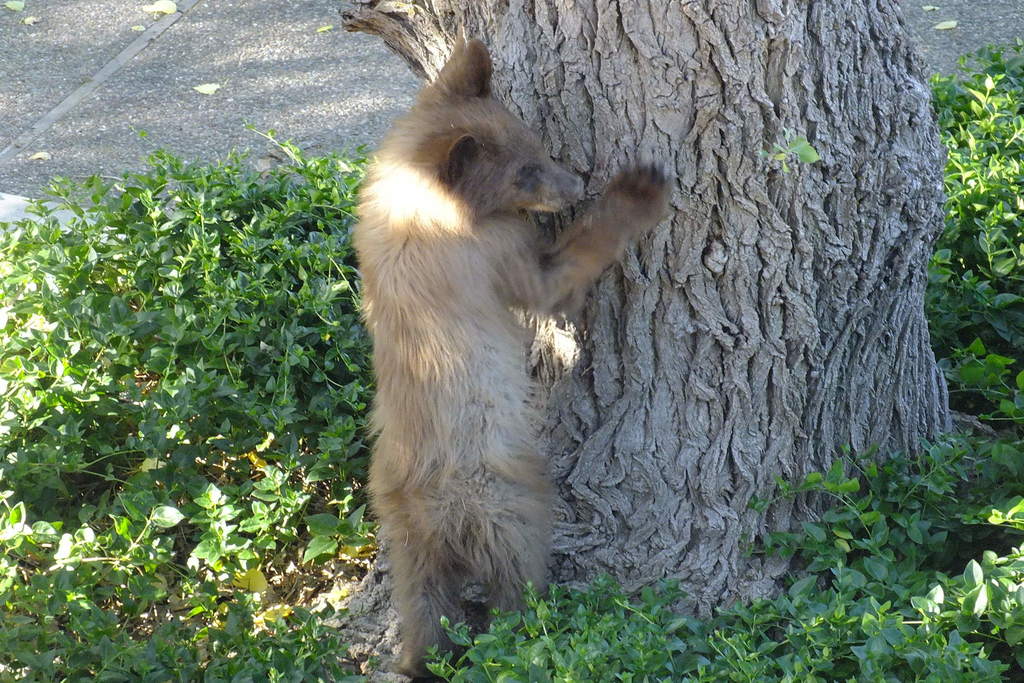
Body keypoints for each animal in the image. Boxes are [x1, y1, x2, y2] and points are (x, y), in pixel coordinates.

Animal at [352, 38, 671, 679]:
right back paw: (532, 627)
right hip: (509, 503)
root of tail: (433, 512)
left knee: (423, 606)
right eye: (524, 172)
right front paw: (639, 190)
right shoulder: (492, 249)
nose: (577, 181)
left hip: (400, 531)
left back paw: (422, 659)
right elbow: (552, 282)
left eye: (536, 142)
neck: (419, 209)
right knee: (515, 580)